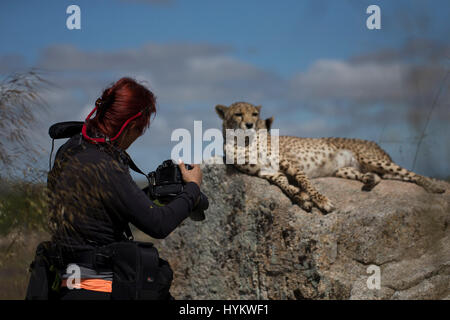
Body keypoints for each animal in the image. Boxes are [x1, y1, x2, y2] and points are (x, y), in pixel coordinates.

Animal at [215, 101, 446, 214]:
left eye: (254, 114)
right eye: (238, 114)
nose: (250, 124)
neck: (244, 142)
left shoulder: (290, 163)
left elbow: (305, 183)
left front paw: (321, 201)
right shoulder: (268, 172)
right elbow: (286, 186)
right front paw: (302, 199)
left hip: (373, 159)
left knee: (411, 174)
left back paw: (435, 186)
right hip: (346, 169)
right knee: (381, 177)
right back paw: (370, 180)